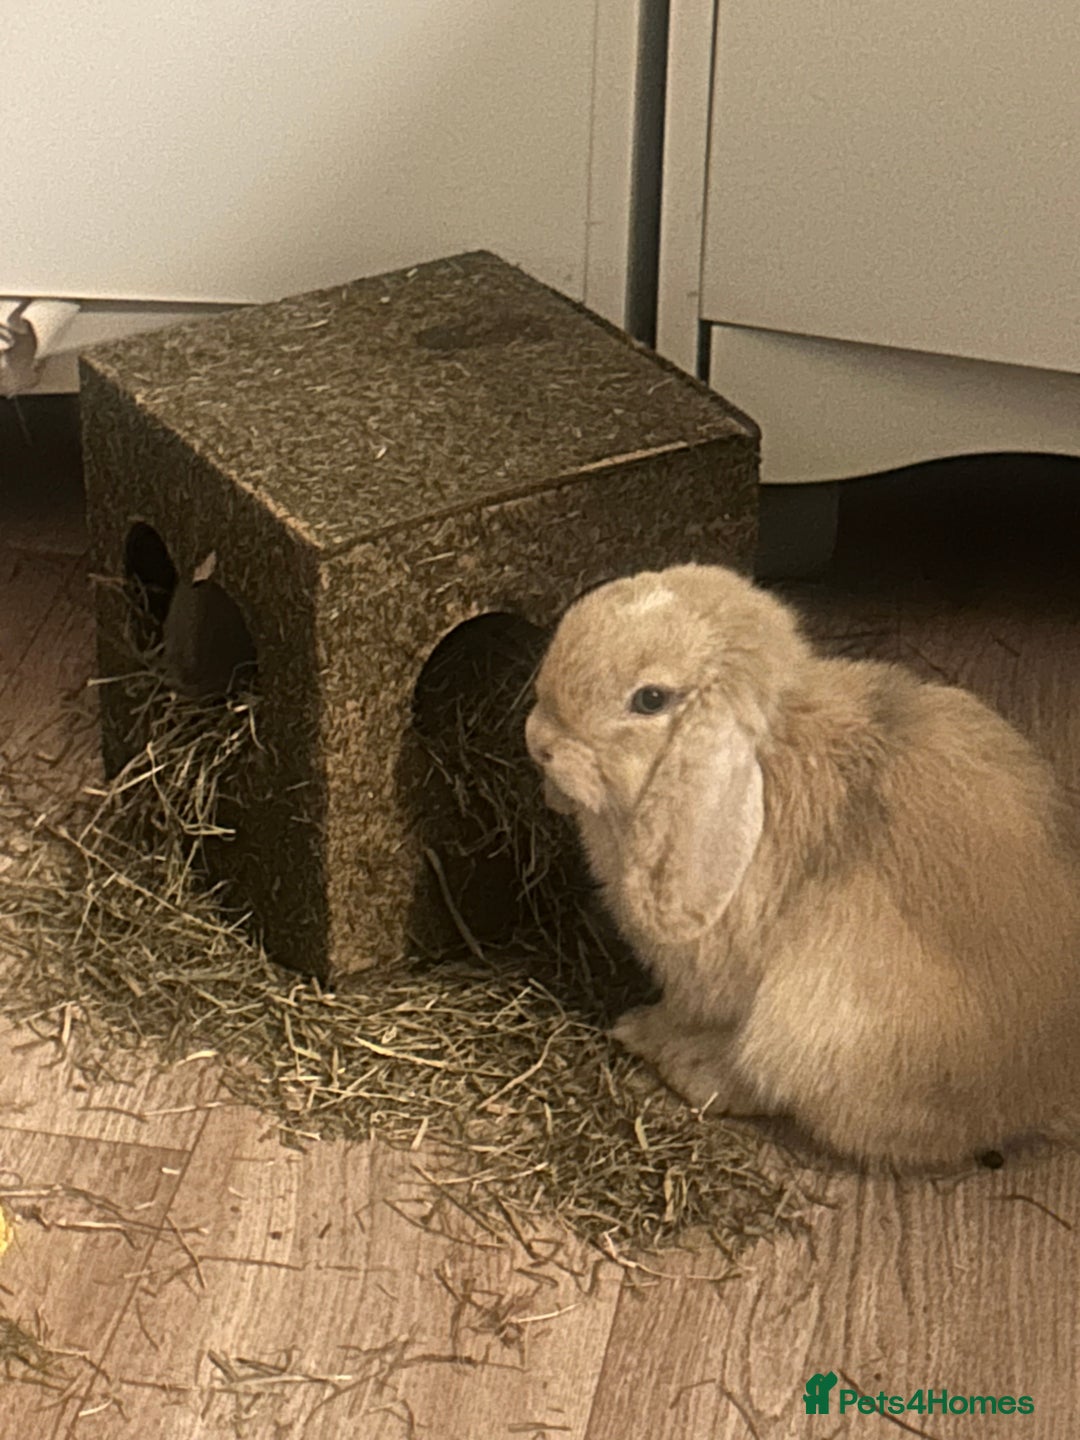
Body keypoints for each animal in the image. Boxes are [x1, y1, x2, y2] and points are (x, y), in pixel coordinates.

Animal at [524, 562, 1080, 1170]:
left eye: (650, 699)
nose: (537, 739)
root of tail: (1042, 1092)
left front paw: (641, 1027)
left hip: (811, 1024)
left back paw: (684, 1064)